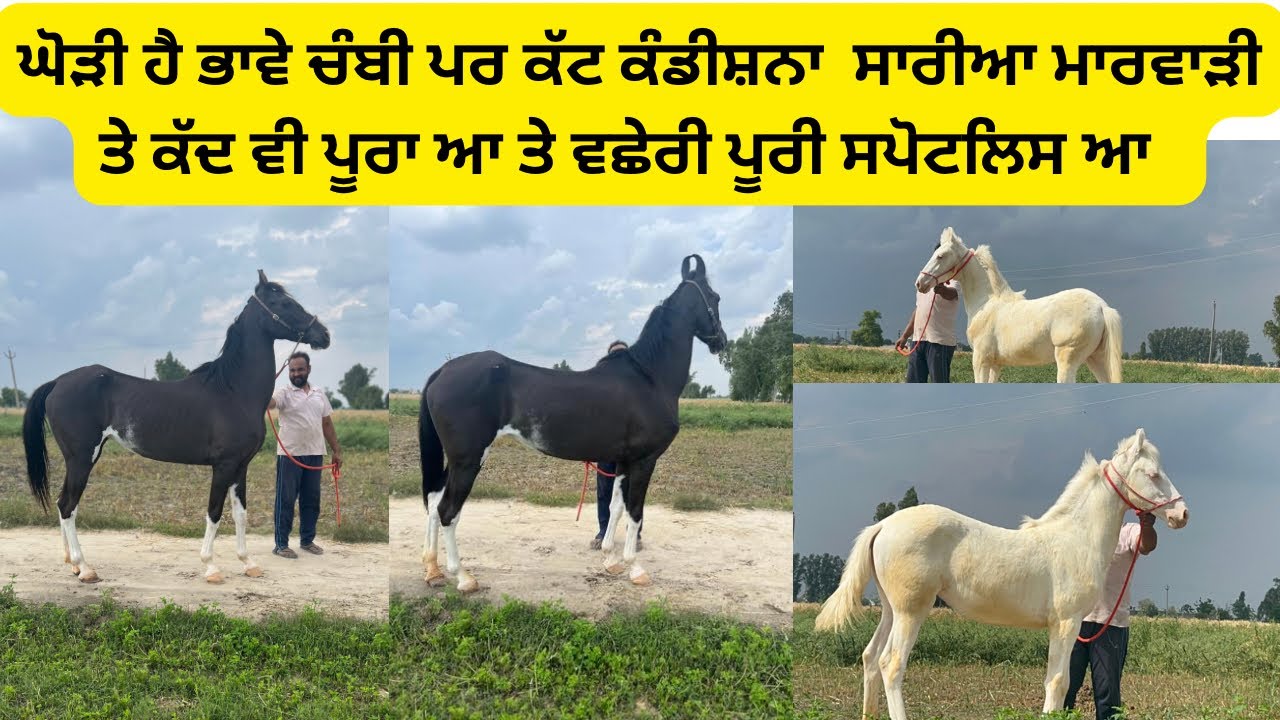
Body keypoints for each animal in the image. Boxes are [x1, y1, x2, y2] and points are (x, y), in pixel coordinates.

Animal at [22, 270, 331, 584]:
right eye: (283, 303)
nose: (324, 335)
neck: (232, 390)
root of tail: (57, 382)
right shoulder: (223, 466)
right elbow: (214, 512)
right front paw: (211, 567)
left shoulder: (240, 467)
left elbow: (240, 514)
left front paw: (248, 563)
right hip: (82, 458)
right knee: (67, 505)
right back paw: (85, 568)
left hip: (78, 460)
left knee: (63, 503)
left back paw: (72, 564)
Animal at [417, 254, 729, 593]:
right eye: (715, 297)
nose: (722, 342)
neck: (649, 377)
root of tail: (444, 370)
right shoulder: (645, 461)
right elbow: (635, 511)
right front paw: (635, 568)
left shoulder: (623, 461)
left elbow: (615, 507)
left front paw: (611, 560)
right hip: (468, 459)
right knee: (448, 511)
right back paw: (462, 577)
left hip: (456, 459)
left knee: (434, 501)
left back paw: (432, 570)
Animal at [812, 428, 1189, 720]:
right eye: (1153, 474)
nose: (1182, 514)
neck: (1075, 539)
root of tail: (883, 525)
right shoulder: (1066, 623)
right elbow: (1059, 683)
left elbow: (1055, 681)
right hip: (911, 611)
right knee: (891, 664)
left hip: (890, 609)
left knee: (870, 657)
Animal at [914, 227, 1124, 383]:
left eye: (941, 256)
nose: (920, 283)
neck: (986, 304)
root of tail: (1101, 307)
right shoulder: (995, 364)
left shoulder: (980, 361)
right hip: (1096, 359)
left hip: (1067, 360)